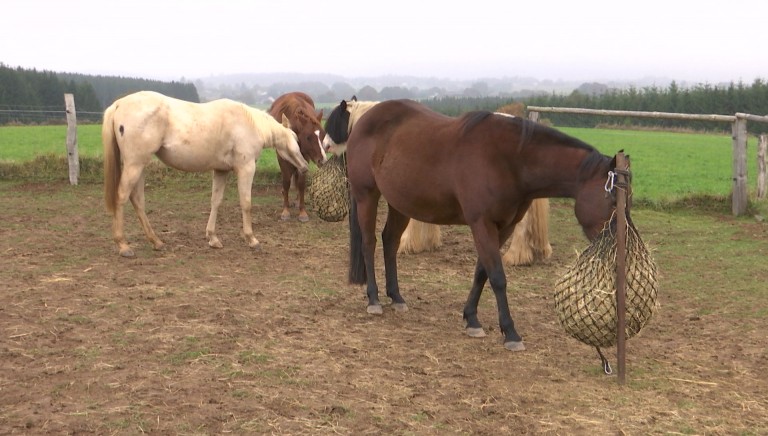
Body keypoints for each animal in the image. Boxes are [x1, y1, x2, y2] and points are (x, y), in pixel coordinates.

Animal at [103, 90, 310, 258]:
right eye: (296, 139)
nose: (305, 166)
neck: (250, 125)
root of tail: (118, 104)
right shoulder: (246, 168)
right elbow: (246, 203)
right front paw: (252, 239)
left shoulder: (221, 171)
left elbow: (215, 201)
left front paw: (213, 238)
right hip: (134, 165)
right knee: (121, 197)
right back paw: (123, 245)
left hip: (139, 166)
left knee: (137, 200)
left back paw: (156, 242)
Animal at [270, 92, 328, 221]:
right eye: (308, 137)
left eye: (323, 134)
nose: (322, 160)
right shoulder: (282, 158)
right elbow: (286, 182)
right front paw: (285, 211)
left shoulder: (304, 157)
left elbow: (301, 183)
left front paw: (302, 212)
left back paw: (296, 201)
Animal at [344, 99, 620, 350]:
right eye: (613, 200)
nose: (617, 247)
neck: (509, 159)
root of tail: (364, 119)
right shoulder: (482, 224)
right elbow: (497, 277)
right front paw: (510, 333)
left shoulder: (504, 227)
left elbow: (481, 272)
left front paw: (472, 319)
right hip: (366, 195)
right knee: (369, 243)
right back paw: (373, 299)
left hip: (399, 204)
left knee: (390, 241)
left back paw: (396, 296)